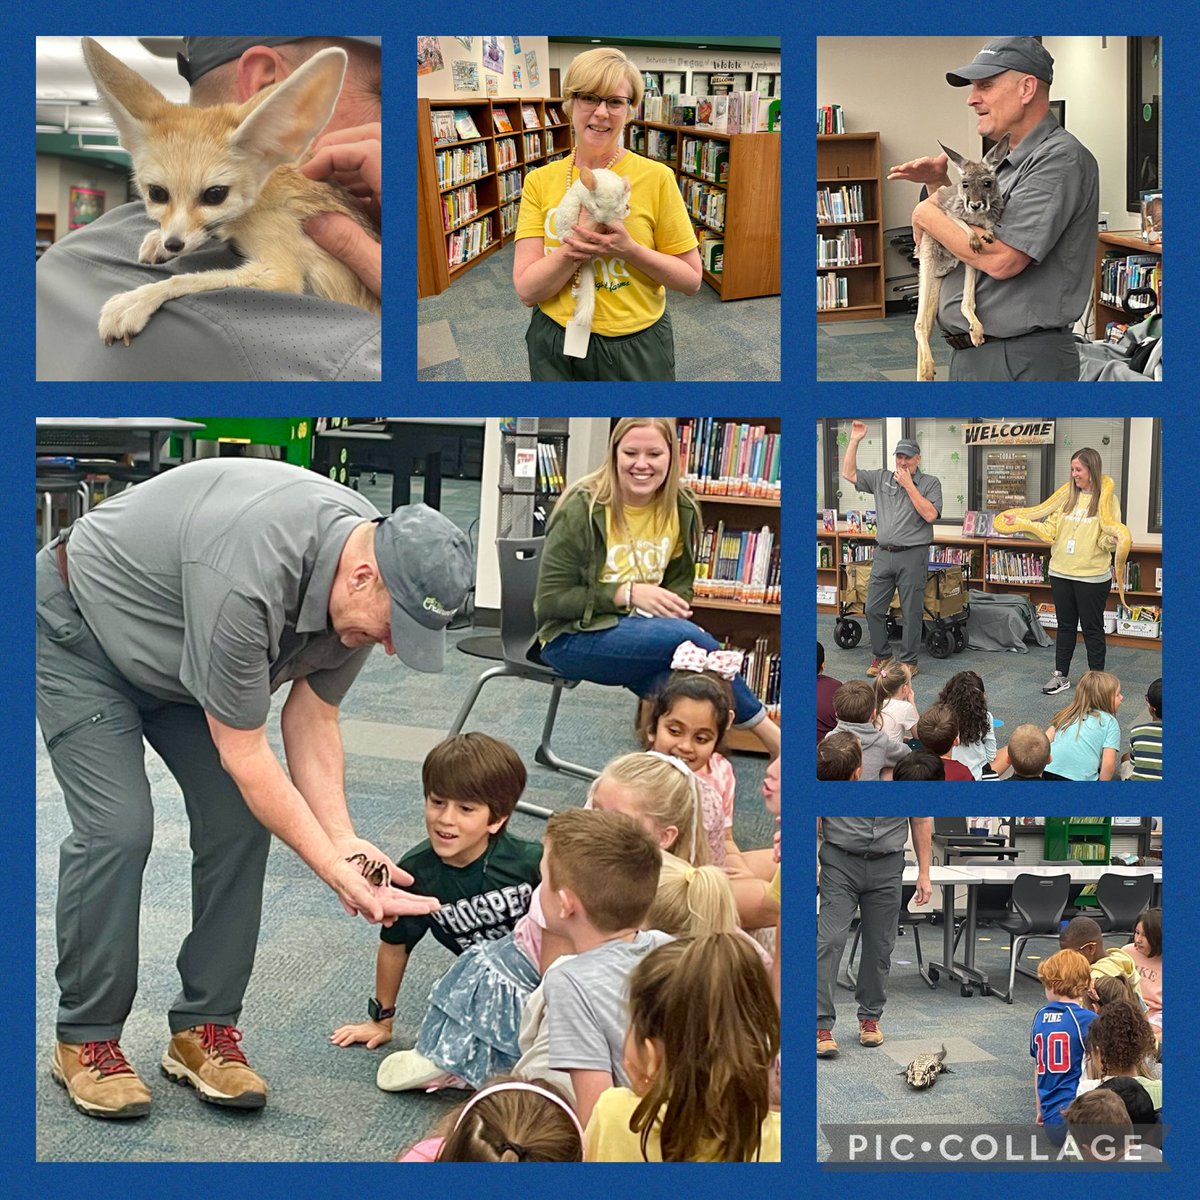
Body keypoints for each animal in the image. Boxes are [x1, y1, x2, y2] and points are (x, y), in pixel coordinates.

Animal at [81, 38, 379, 348]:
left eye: (215, 195)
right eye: (157, 194)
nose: (173, 245)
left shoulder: (281, 273)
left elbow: (192, 278)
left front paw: (139, 298)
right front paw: (156, 240)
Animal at [912, 130, 1008, 376]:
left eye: (987, 183)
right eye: (965, 184)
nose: (974, 205)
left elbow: (989, 226)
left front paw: (989, 234)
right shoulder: (949, 213)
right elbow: (961, 222)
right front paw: (973, 234)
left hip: (967, 260)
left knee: (964, 303)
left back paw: (976, 331)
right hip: (929, 251)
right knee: (919, 323)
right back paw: (928, 367)